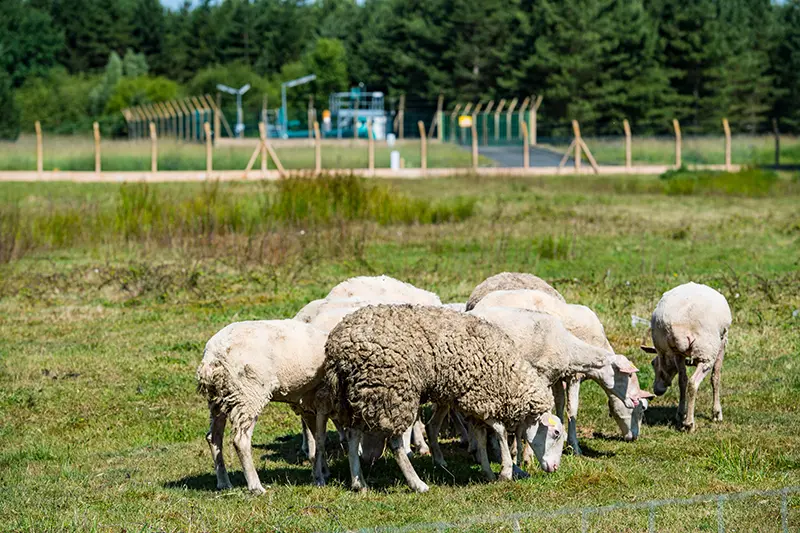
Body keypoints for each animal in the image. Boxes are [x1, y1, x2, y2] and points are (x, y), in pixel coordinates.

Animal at [322, 304, 566, 493]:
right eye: (555, 433)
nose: (555, 468)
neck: (510, 375)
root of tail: (339, 348)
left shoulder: (474, 401)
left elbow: (481, 435)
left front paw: (488, 472)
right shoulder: (481, 396)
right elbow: (500, 431)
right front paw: (505, 471)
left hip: (360, 393)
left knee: (353, 434)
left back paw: (359, 483)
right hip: (391, 392)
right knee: (395, 443)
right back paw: (417, 484)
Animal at [474, 289, 653, 453]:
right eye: (642, 409)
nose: (634, 437)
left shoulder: (559, 375)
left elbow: (560, 403)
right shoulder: (573, 376)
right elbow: (572, 409)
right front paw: (574, 446)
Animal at [641, 282, 731, 432]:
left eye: (653, 363)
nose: (657, 391)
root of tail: (679, 327)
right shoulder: (723, 341)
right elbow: (716, 377)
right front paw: (717, 413)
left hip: (678, 352)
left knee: (683, 380)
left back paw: (681, 414)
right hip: (706, 351)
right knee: (693, 383)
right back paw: (689, 423)